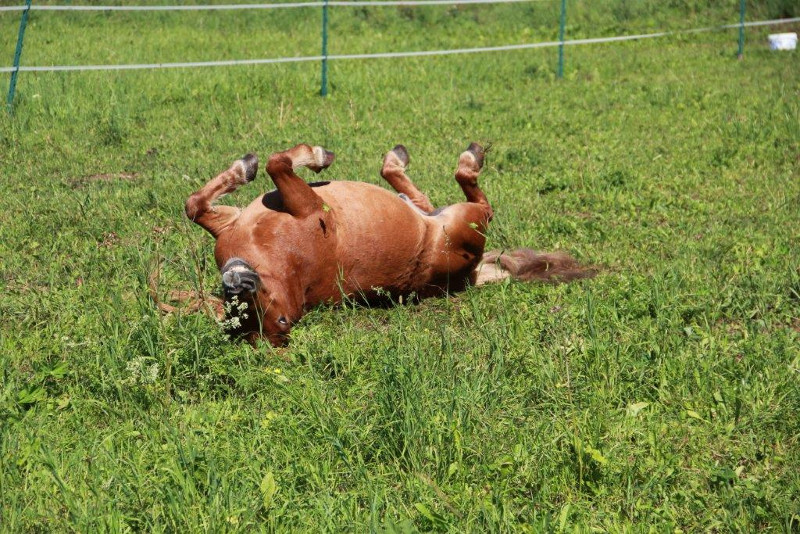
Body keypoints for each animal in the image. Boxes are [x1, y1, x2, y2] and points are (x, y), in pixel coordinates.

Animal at [179, 142, 594, 346]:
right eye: (277, 320)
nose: (237, 282)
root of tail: (471, 274)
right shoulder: (308, 205)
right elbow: (275, 163)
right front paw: (314, 155)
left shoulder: (235, 218)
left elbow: (195, 203)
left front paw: (244, 167)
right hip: (463, 220)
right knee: (475, 194)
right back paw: (465, 157)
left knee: (420, 194)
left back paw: (400, 160)